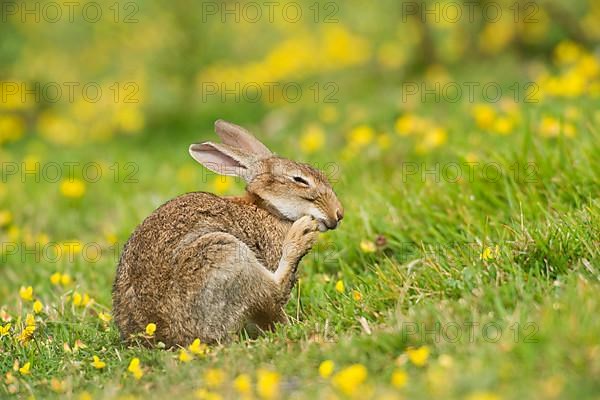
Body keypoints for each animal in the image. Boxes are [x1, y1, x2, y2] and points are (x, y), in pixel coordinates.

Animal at [112, 119, 342, 346]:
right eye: (299, 180)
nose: (338, 214)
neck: (268, 208)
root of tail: (165, 336)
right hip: (223, 254)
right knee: (270, 291)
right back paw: (301, 235)